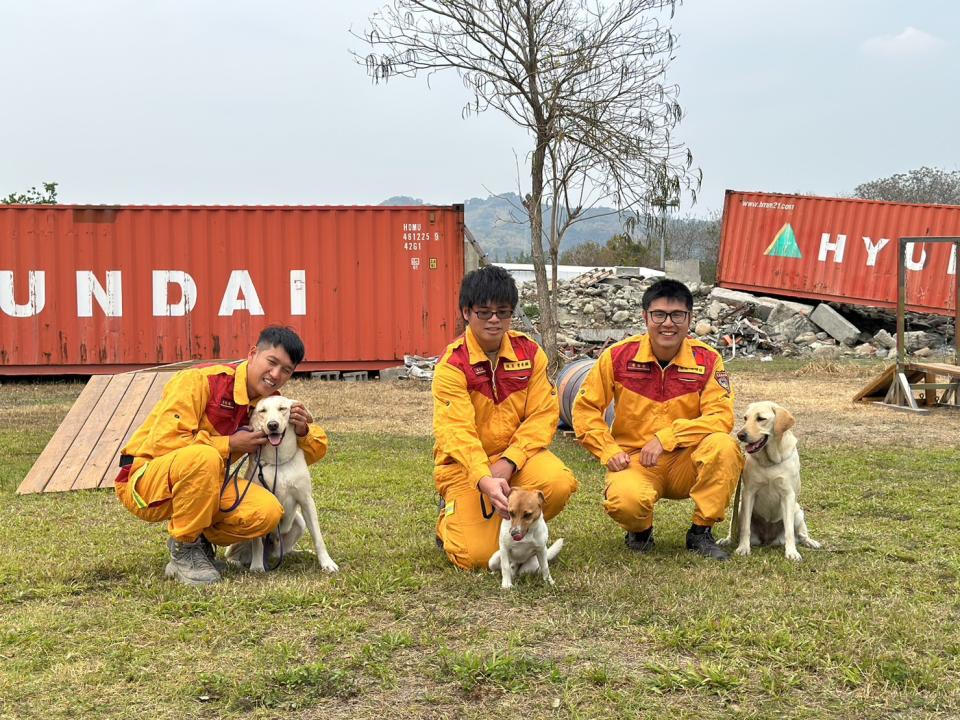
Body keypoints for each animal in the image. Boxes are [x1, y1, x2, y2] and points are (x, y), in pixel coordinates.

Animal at [227, 394, 340, 572]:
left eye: (282, 408)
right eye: (262, 411)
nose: (272, 425)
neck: (278, 460)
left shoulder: (306, 501)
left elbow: (318, 537)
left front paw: (327, 562)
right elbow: (257, 543)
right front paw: (257, 566)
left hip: (299, 523)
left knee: (282, 551)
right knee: (234, 554)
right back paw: (238, 562)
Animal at [724, 400, 820, 564]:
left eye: (761, 419)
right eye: (745, 418)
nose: (740, 435)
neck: (769, 461)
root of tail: (768, 539)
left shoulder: (788, 495)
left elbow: (789, 531)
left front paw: (792, 552)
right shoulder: (748, 493)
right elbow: (745, 528)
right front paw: (743, 548)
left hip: (797, 512)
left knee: (801, 534)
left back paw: (810, 542)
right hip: (740, 508)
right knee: (735, 528)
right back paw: (727, 540)